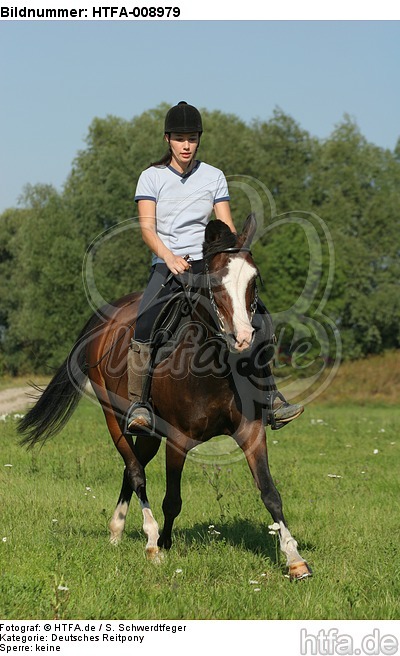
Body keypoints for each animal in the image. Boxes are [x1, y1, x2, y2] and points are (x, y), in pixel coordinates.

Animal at [18, 214, 312, 580]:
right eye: (213, 282)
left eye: (253, 280)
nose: (243, 339)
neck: (214, 365)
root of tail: (104, 318)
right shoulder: (178, 439)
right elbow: (172, 498)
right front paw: (164, 545)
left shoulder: (251, 431)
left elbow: (270, 493)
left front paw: (295, 559)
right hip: (115, 418)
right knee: (135, 471)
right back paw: (150, 539)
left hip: (150, 433)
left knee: (133, 465)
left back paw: (117, 530)